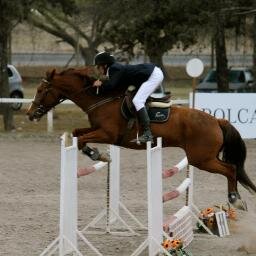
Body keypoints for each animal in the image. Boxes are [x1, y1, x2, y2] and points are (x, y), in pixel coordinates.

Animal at [26, 67, 256, 210]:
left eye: (41, 90)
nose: (30, 114)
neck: (101, 100)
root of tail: (217, 120)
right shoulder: (96, 129)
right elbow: (76, 133)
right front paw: (97, 154)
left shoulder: (108, 134)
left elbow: (83, 139)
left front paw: (98, 155)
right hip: (203, 158)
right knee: (232, 170)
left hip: (201, 159)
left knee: (231, 170)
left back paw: (235, 200)